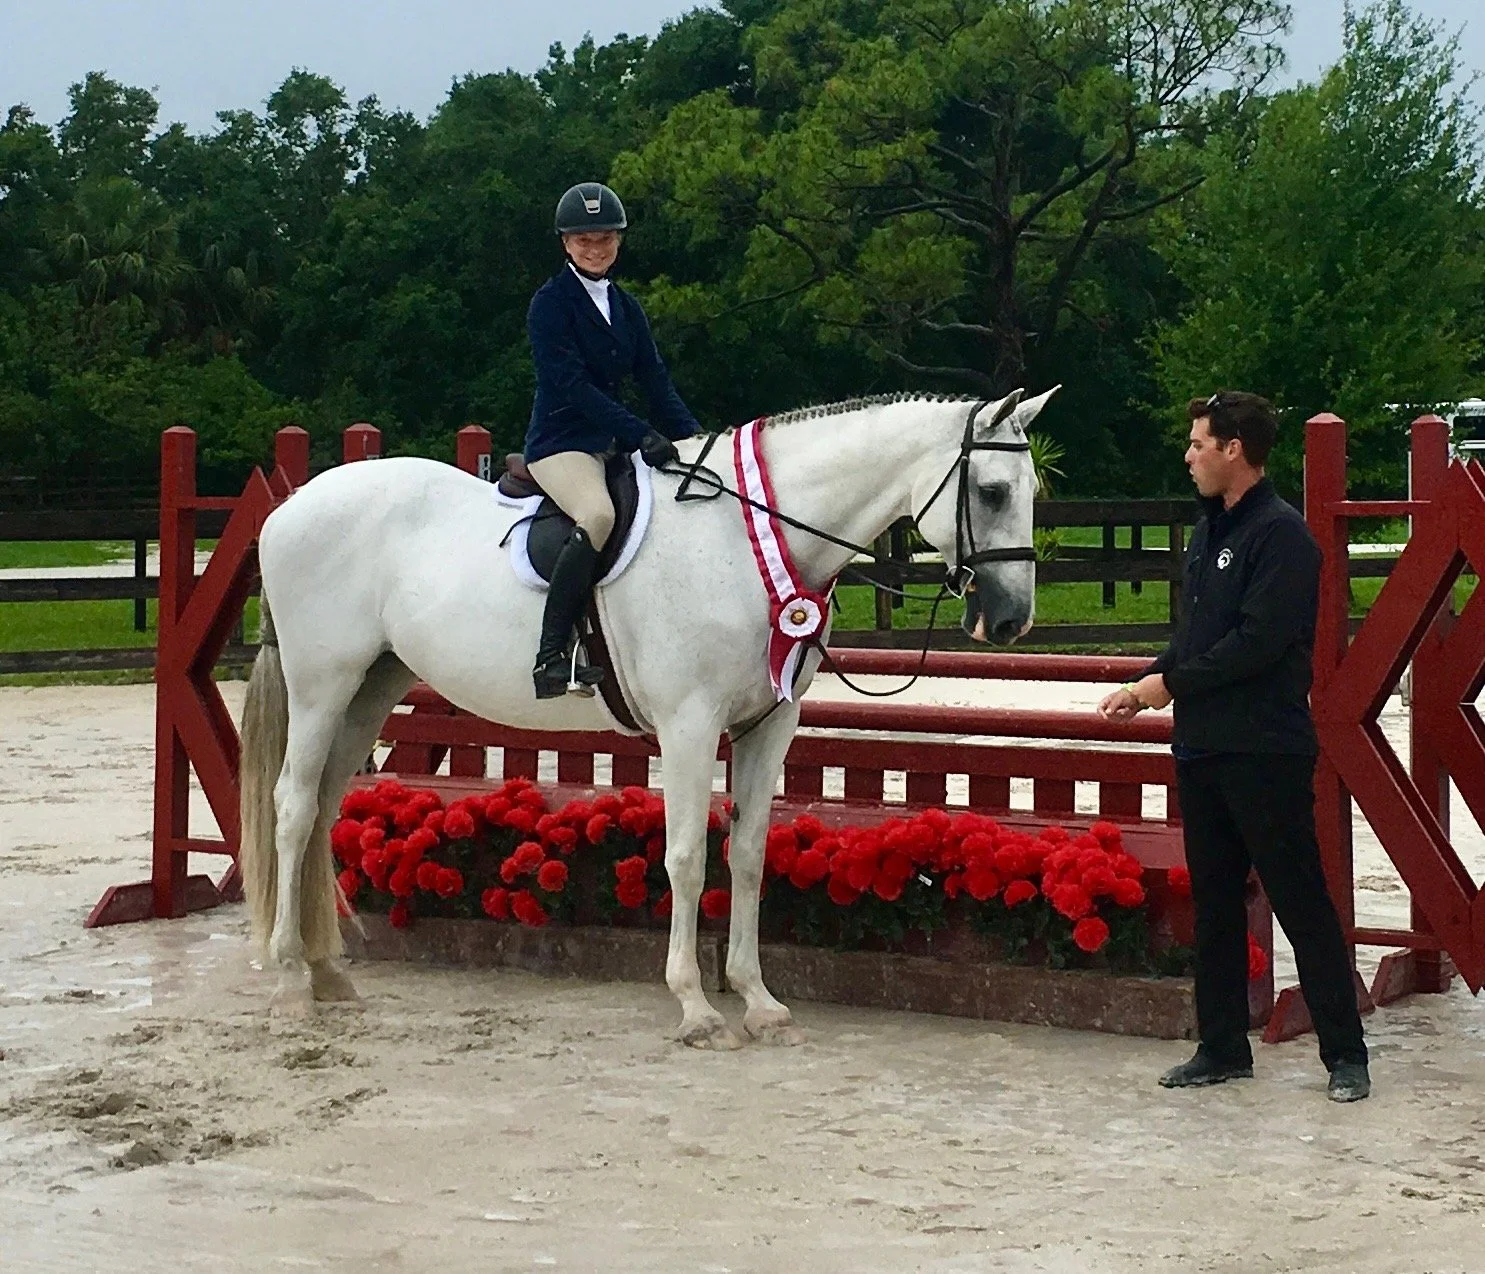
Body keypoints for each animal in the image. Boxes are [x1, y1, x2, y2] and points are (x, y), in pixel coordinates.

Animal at [237, 387, 1053, 1047]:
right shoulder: (690, 726)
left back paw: (327, 973)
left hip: (372, 688)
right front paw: (696, 1007)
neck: (747, 540)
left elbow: (748, 854)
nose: (1010, 620)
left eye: (1031, 489)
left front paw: (758, 1000)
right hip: (322, 685)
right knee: (293, 806)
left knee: (323, 808)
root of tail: (289, 505)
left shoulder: (769, 725)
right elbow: (686, 859)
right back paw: (289, 982)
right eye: (988, 491)